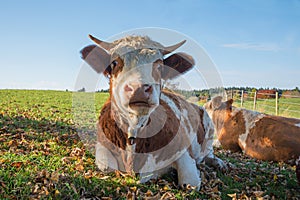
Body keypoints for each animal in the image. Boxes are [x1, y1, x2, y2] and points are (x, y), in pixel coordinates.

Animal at [79, 34, 225, 189]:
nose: (139, 88)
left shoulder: (183, 148)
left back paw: (219, 163)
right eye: (114, 63)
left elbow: (189, 182)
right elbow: (107, 166)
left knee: (208, 153)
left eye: (159, 66)